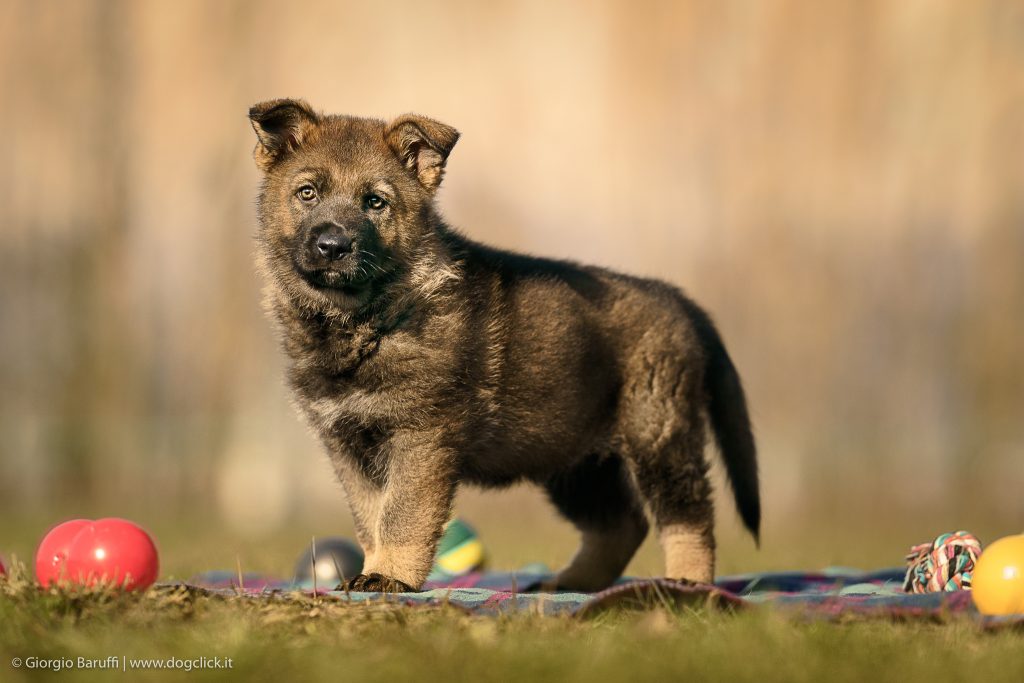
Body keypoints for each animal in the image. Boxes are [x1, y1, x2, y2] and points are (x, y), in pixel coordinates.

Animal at [248, 97, 761, 593]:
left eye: (375, 202)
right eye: (307, 193)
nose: (333, 245)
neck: (367, 317)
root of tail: (677, 298)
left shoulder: (421, 435)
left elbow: (402, 515)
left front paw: (390, 576)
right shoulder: (349, 444)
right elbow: (371, 518)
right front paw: (374, 570)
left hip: (657, 434)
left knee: (688, 516)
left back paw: (687, 582)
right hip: (571, 455)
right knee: (620, 525)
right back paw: (569, 584)